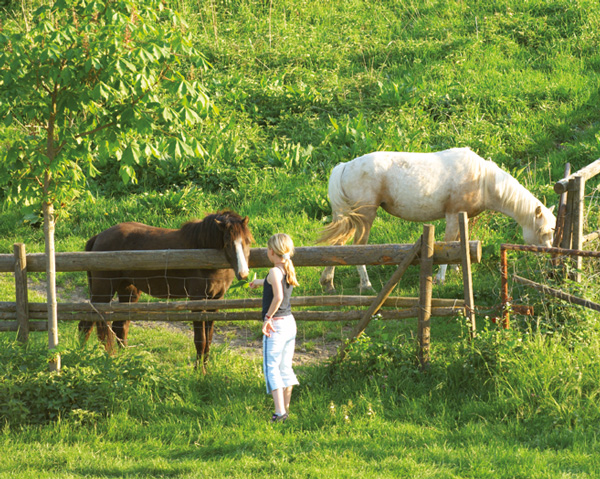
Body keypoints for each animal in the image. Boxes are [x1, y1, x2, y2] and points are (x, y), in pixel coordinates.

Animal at [78, 210, 253, 372]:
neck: (202, 253)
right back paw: (81, 356)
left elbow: (208, 340)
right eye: (228, 243)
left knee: (119, 327)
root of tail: (98, 237)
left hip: (128, 291)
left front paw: (205, 370)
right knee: (87, 324)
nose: (243, 273)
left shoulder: (215, 301)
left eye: (247, 241)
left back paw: (124, 358)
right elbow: (200, 340)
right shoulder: (197, 301)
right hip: (103, 292)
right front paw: (199, 372)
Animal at [316, 149, 556, 292]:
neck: (482, 180)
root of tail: (345, 165)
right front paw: (441, 277)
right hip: (365, 217)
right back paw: (366, 285)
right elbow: (449, 243)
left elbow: (458, 243)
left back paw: (328, 282)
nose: (550, 255)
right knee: (358, 247)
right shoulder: (452, 215)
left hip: (348, 219)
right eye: (543, 231)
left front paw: (457, 270)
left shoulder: (460, 217)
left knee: (337, 246)